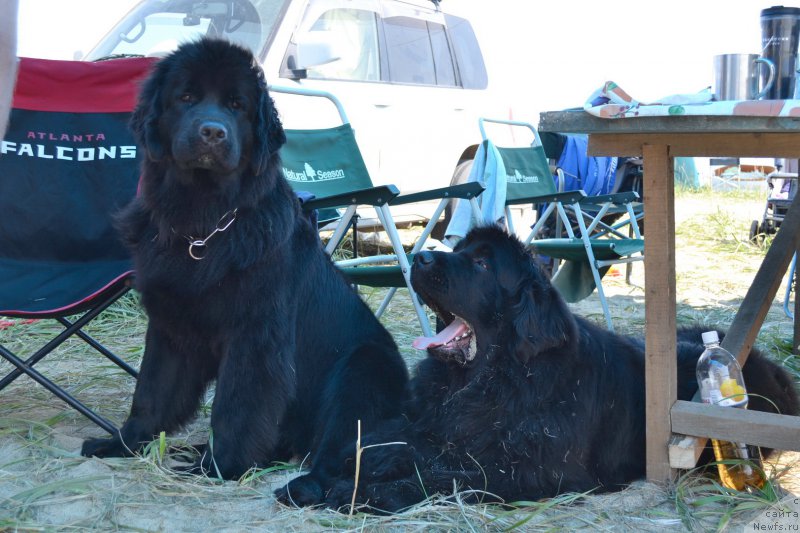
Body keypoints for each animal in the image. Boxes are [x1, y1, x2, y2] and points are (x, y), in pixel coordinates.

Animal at [78, 38, 410, 502]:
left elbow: (237, 406)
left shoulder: (255, 337)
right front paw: (124, 443)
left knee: (341, 451)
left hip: (363, 369)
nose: (213, 132)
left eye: (237, 105)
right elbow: (151, 391)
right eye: (186, 97)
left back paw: (300, 487)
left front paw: (221, 466)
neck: (204, 225)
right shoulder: (171, 326)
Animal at [316, 224, 796, 512]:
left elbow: (443, 476)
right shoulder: (448, 425)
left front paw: (364, 489)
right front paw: (358, 460)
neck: (499, 377)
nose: (419, 258)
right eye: (458, 250)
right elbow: (409, 443)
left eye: (482, 263)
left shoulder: (531, 471)